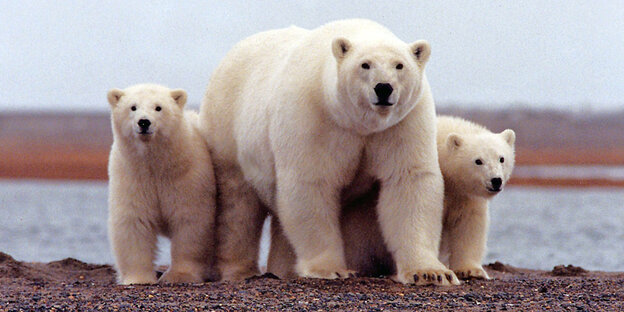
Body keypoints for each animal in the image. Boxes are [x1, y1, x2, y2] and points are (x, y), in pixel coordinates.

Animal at [200, 18, 458, 286]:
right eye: (365, 64)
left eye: (400, 65)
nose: (383, 88)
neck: (358, 123)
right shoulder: (314, 117)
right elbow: (311, 183)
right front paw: (331, 269)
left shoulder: (402, 123)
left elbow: (409, 181)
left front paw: (431, 272)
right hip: (228, 130)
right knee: (238, 206)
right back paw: (239, 270)